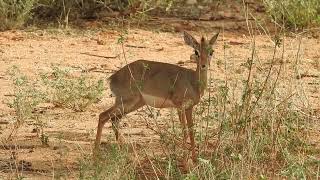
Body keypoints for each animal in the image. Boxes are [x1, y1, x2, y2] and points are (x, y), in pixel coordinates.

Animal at [95, 31, 219, 161]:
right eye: (196, 51)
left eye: (211, 51)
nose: (204, 65)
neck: (192, 81)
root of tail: (112, 78)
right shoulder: (180, 106)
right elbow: (185, 131)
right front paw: (185, 162)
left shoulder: (189, 107)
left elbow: (191, 131)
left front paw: (195, 160)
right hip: (126, 101)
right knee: (103, 116)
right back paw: (95, 156)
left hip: (133, 104)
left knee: (114, 120)